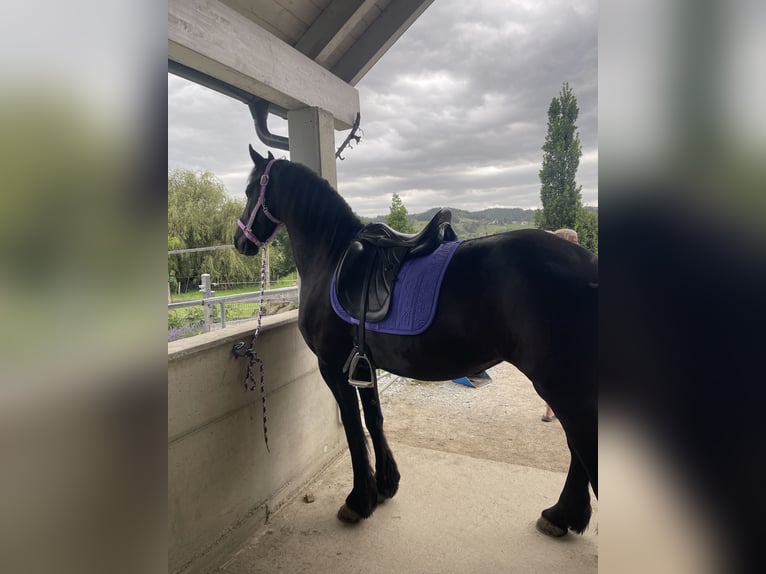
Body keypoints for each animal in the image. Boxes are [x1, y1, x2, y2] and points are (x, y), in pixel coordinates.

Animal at [234, 147, 598, 537]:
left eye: (250, 190)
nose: (240, 241)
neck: (332, 258)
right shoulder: (362, 365)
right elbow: (374, 419)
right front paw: (385, 486)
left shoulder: (333, 366)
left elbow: (352, 428)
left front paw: (358, 501)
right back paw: (563, 515)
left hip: (560, 384)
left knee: (581, 443)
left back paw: (562, 515)